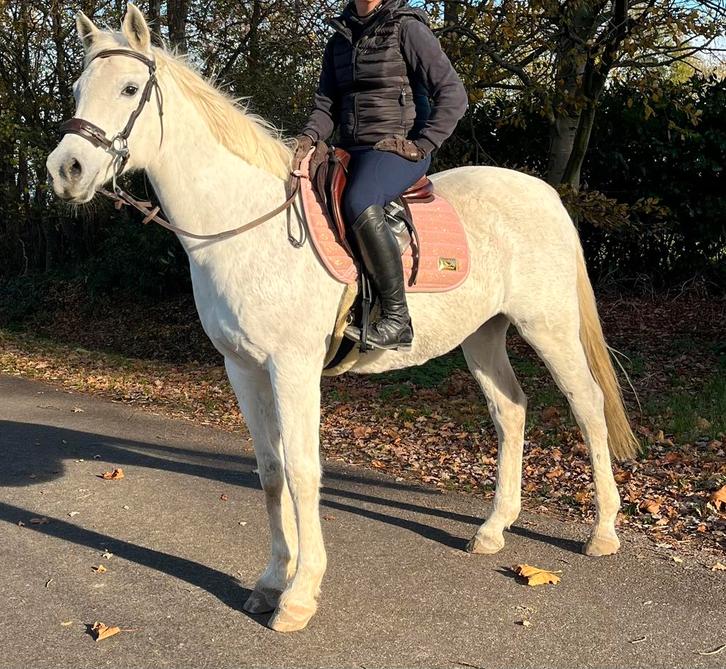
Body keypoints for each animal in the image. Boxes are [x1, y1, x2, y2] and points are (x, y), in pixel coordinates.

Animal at [46, 4, 638, 633]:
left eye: (130, 89)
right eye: (80, 89)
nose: (66, 169)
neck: (247, 224)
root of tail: (546, 194)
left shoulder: (294, 367)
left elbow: (304, 472)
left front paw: (300, 595)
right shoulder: (243, 369)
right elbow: (270, 470)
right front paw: (270, 581)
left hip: (548, 327)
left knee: (587, 406)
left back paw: (603, 532)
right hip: (482, 336)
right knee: (511, 411)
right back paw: (494, 528)